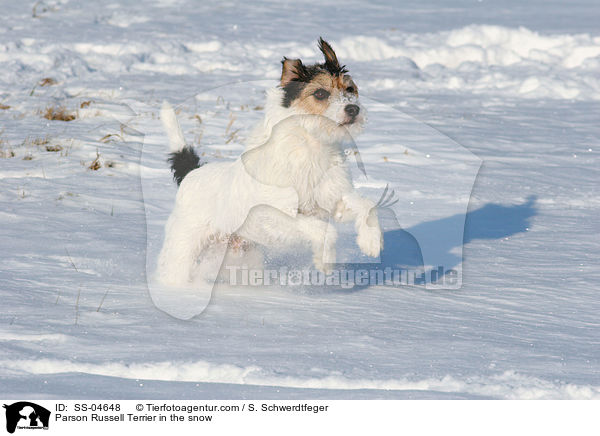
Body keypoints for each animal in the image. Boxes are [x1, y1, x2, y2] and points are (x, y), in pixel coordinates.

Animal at [158, 37, 384, 286]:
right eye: (320, 94)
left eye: (350, 89)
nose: (353, 109)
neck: (310, 147)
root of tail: (192, 173)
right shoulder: (272, 215)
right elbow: (324, 230)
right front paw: (325, 261)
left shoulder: (332, 201)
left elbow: (367, 206)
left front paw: (371, 242)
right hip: (184, 247)